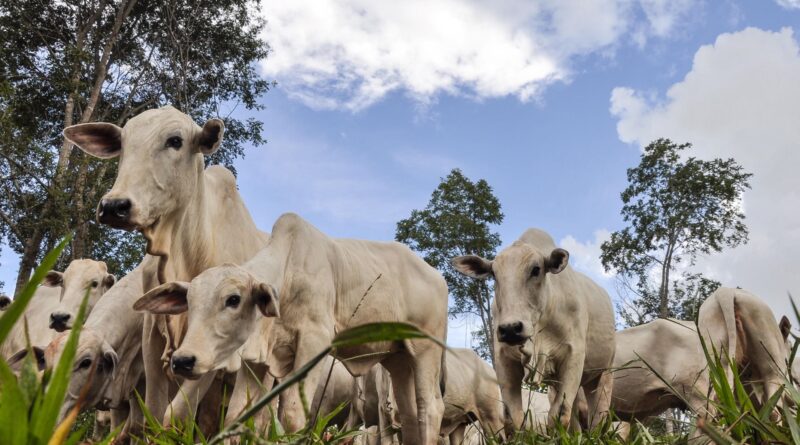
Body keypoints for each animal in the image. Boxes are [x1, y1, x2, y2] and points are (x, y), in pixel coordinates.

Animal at [64, 105, 270, 428]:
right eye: (123, 143)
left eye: (175, 141)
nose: (114, 206)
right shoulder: (152, 336)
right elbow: (151, 412)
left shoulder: (214, 350)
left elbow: (176, 414)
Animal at [134, 212, 449, 444]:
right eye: (189, 301)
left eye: (233, 299)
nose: (183, 360)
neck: (287, 276)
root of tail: (436, 275)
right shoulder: (257, 359)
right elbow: (238, 416)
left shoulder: (315, 343)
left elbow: (293, 416)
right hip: (398, 359)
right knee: (410, 414)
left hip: (425, 349)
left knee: (431, 408)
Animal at [452, 228, 616, 429]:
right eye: (494, 274)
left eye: (536, 269)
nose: (511, 329)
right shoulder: (504, 360)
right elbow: (514, 418)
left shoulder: (574, 357)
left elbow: (559, 415)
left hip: (603, 374)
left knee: (598, 416)